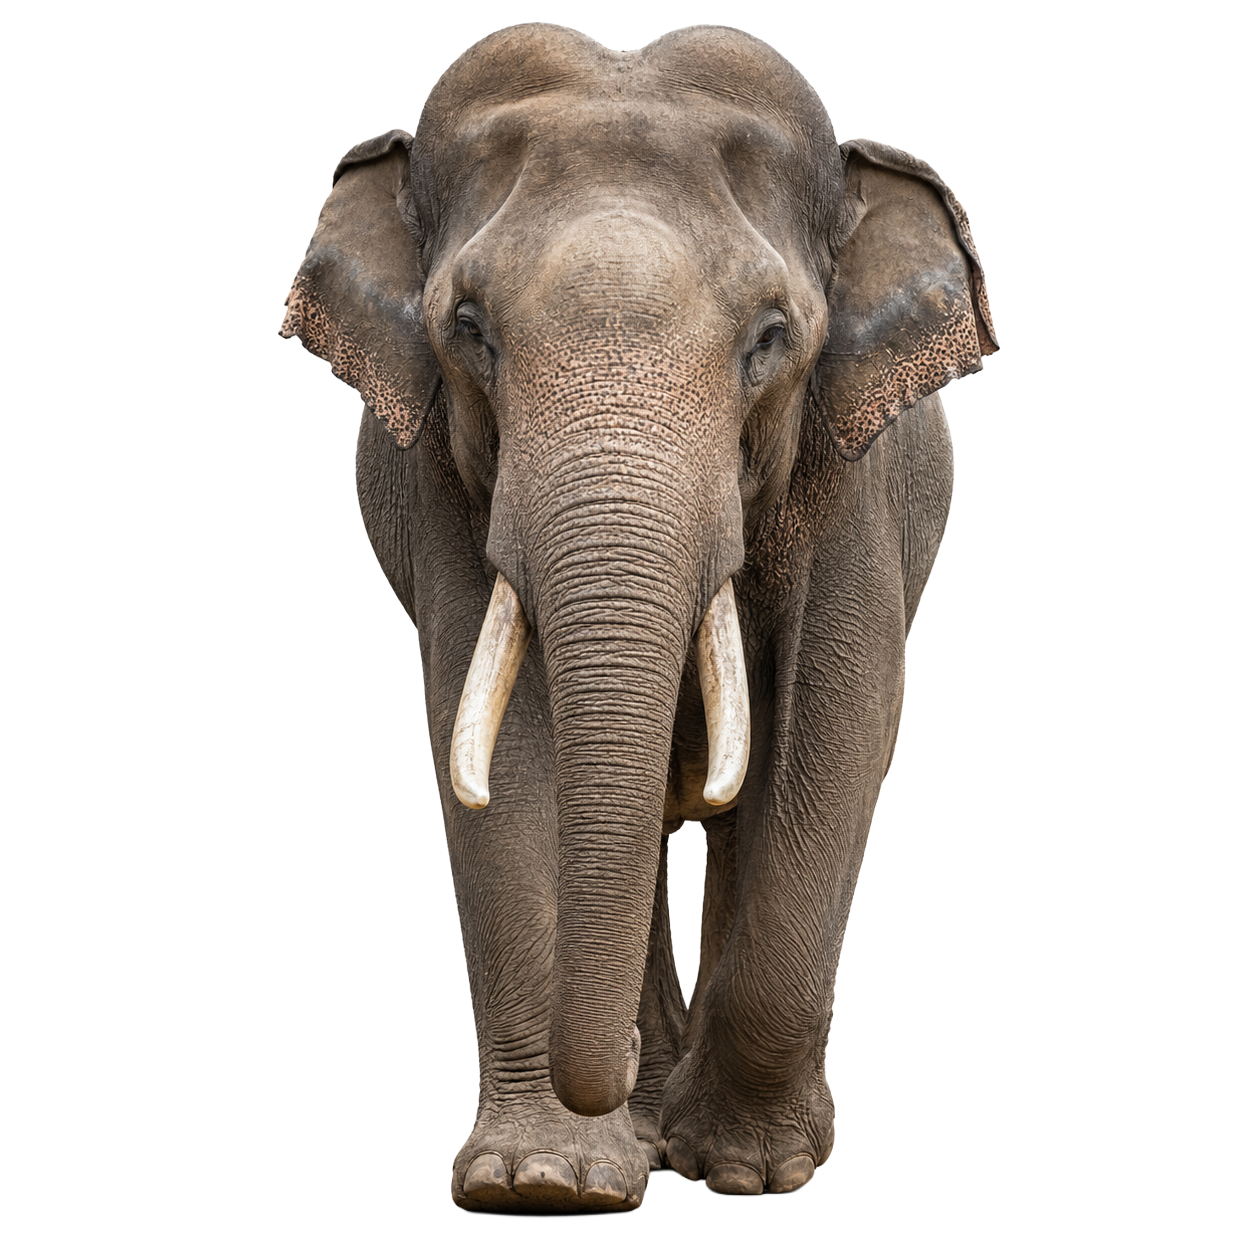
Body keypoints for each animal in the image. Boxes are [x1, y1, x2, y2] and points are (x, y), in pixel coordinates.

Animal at [280, 23, 996, 1215]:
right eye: (468, 329)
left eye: (770, 335)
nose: (601, 1071)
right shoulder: (442, 475)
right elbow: (499, 748)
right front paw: (542, 1184)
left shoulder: (852, 465)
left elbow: (838, 723)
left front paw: (750, 1170)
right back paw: (650, 1124)